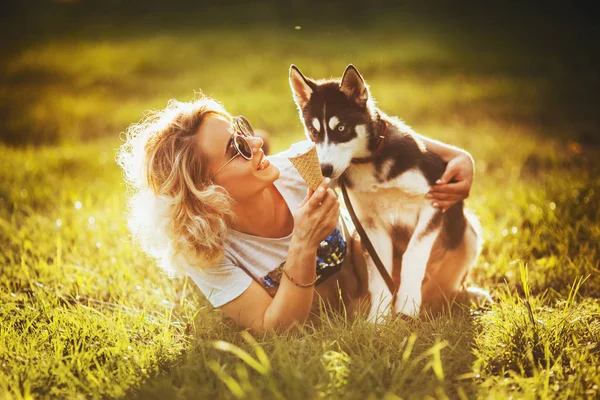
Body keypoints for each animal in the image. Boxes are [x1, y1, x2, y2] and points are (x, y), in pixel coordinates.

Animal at [288, 65, 482, 322]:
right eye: (313, 131)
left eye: (341, 128)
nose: (325, 170)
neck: (369, 163)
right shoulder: (370, 224)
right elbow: (380, 275)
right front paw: (378, 319)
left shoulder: (433, 204)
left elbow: (413, 254)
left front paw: (407, 305)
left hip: (469, 230)